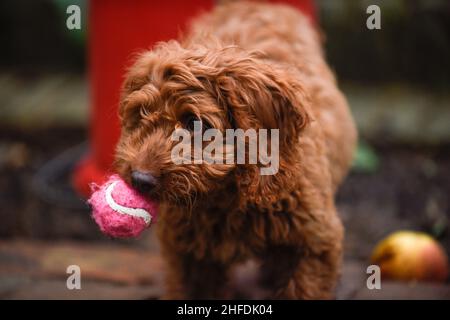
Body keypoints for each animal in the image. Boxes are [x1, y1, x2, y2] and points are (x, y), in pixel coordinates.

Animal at [114, 1, 356, 298]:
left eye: (194, 123)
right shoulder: (187, 253)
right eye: (141, 113)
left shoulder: (315, 243)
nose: (140, 179)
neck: (228, 194)